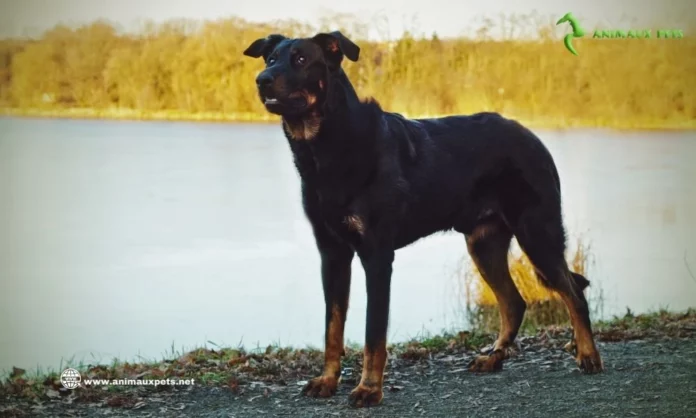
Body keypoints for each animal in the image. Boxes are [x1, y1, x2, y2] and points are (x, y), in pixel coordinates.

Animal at [245, 31, 604, 406]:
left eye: (301, 59)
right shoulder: (332, 255)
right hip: (485, 245)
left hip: (537, 233)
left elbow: (373, 333)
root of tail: (532, 137)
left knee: (573, 293)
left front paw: (369, 388)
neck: (328, 148)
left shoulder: (376, 255)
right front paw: (328, 380)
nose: (262, 79)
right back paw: (493, 358)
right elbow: (332, 328)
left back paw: (588, 355)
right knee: (515, 303)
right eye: (270, 58)